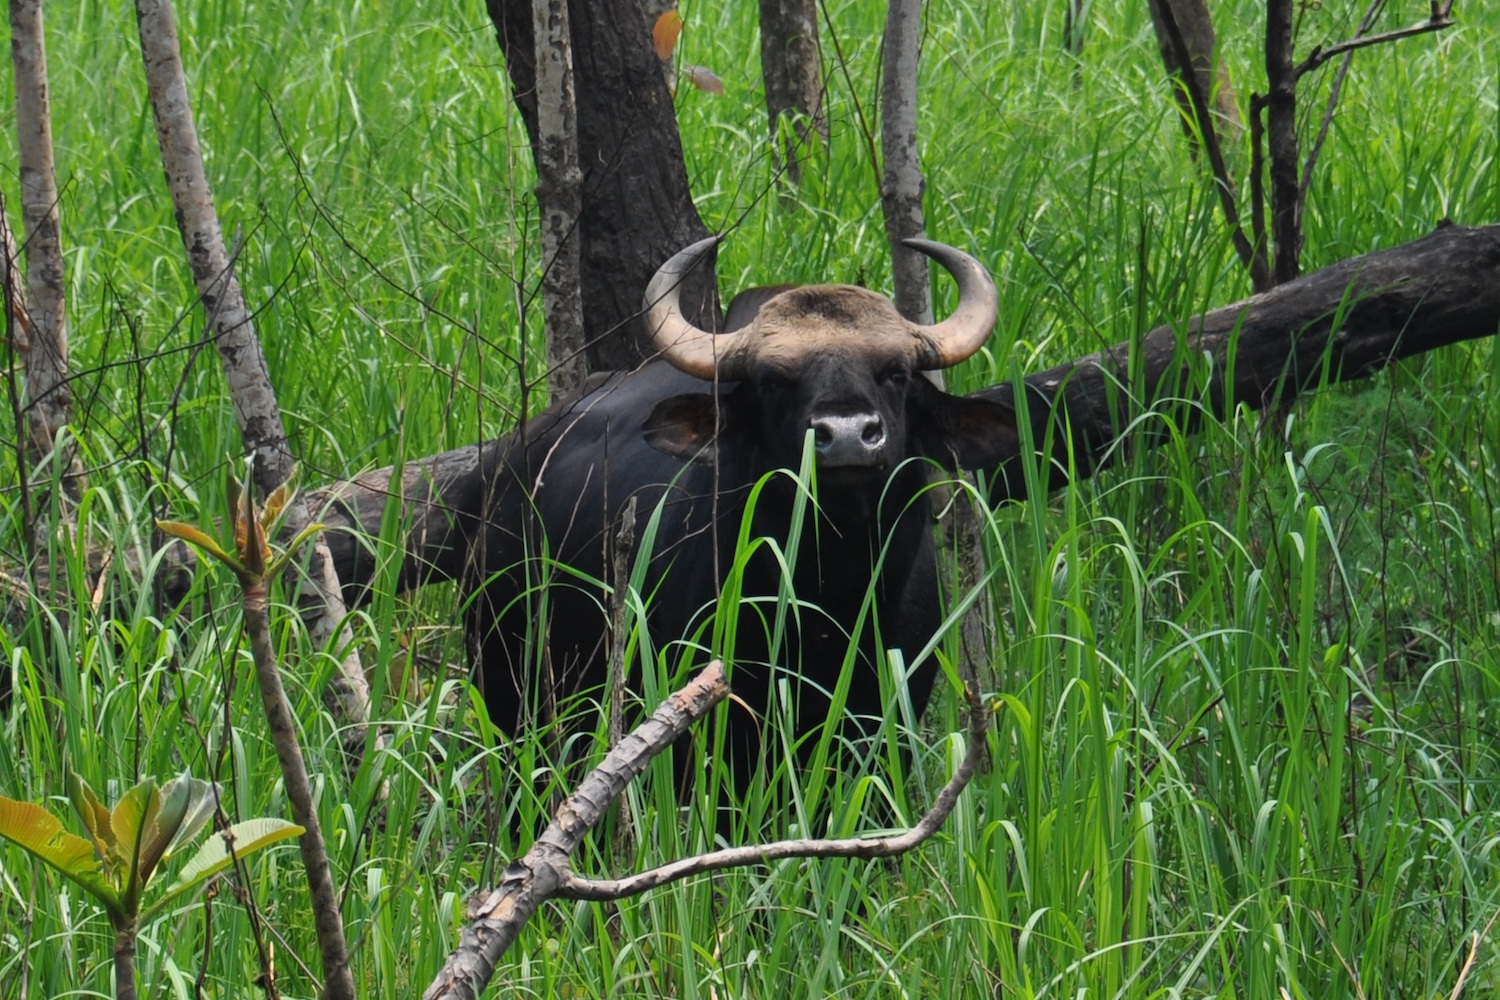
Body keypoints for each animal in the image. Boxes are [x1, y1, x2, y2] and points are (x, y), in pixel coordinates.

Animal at [463, 237, 1016, 817]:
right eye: (773, 382)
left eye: (896, 372)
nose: (846, 436)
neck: (830, 600)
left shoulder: (888, 727)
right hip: (505, 688)